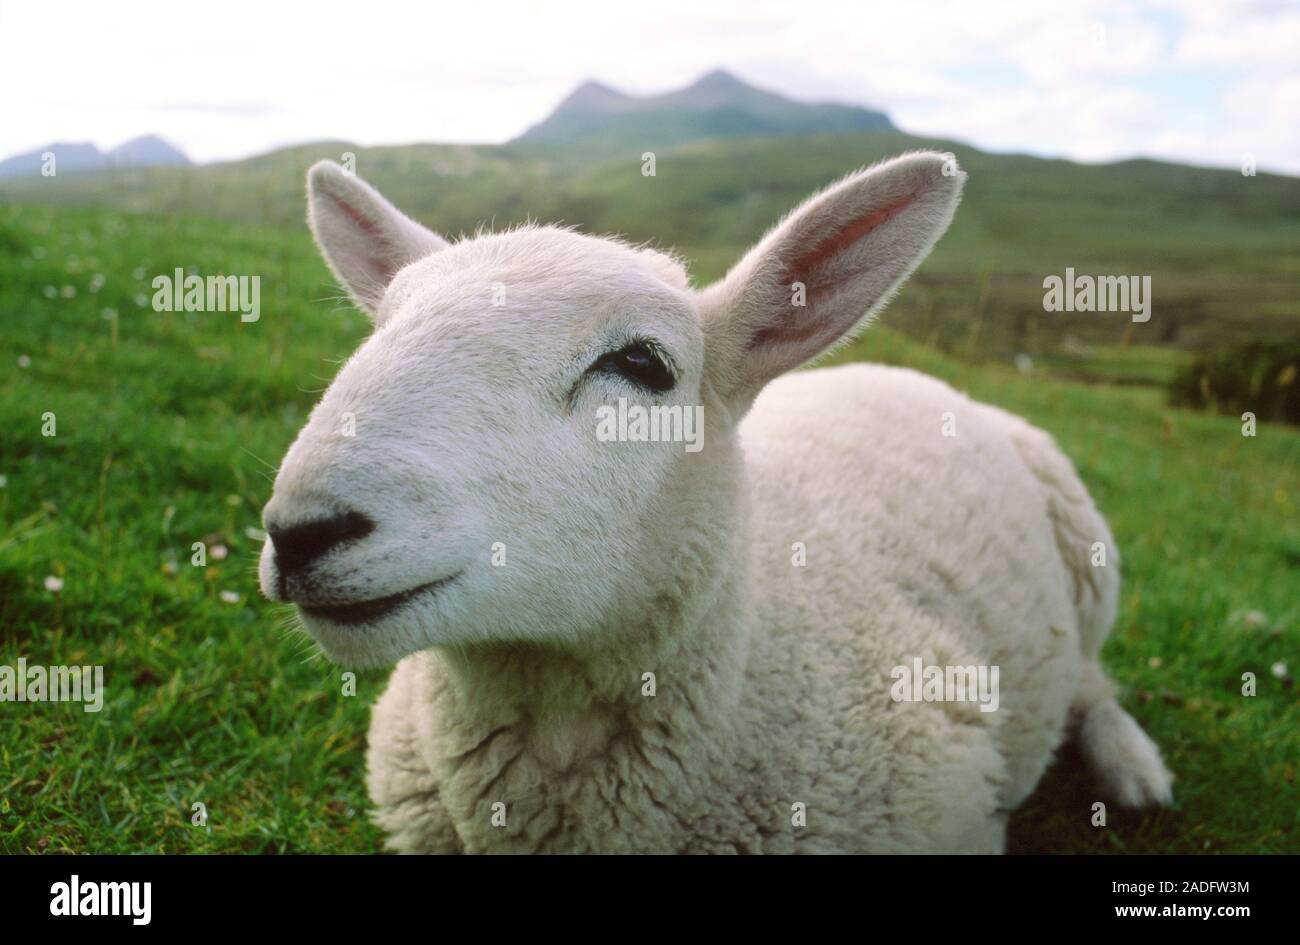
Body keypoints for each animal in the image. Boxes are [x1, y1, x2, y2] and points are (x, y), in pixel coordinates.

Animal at [258, 151, 1173, 853]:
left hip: (1091, 561)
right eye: (380, 326)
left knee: (1093, 680)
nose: (300, 531)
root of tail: (914, 376)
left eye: (642, 363)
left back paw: (1134, 769)